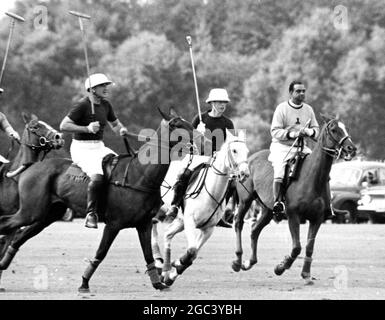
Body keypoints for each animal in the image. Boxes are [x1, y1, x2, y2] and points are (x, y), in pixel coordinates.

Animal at [0, 107, 200, 292]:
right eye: (177, 125)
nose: (199, 141)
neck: (140, 175)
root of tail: (31, 166)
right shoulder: (114, 224)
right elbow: (101, 252)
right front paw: (84, 283)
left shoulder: (144, 224)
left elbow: (148, 255)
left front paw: (158, 283)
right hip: (31, 211)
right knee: (6, 224)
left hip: (46, 215)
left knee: (17, 237)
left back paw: (3, 265)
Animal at [153, 129, 249, 284]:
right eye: (234, 150)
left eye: (247, 151)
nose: (245, 173)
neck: (211, 191)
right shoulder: (190, 222)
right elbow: (191, 250)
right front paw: (176, 264)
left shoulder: (208, 228)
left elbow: (193, 254)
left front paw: (173, 272)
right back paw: (157, 262)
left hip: (179, 221)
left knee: (167, 234)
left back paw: (165, 269)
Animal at [230, 114, 356, 284]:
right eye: (334, 129)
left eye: (345, 128)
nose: (351, 149)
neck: (312, 179)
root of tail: (249, 159)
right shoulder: (293, 215)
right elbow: (297, 247)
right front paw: (280, 267)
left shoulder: (317, 218)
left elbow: (309, 247)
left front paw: (306, 274)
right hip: (246, 200)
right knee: (238, 223)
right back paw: (237, 261)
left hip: (267, 209)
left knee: (255, 229)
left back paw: (249, 262)